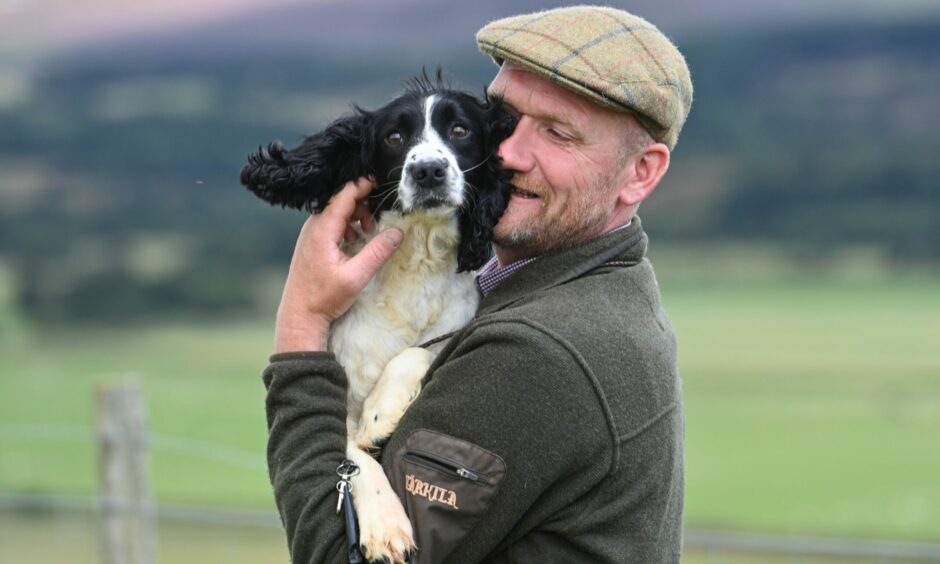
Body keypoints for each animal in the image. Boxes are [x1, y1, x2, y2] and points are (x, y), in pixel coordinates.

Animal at [237, 72, 516, 560]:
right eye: (394, 137)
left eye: (460, 130)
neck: (416, 258)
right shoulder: (341, 394)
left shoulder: (456, 322)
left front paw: (381, 412)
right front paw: (386, 524)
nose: (428, 170)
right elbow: (353, 456)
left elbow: (424, 350)